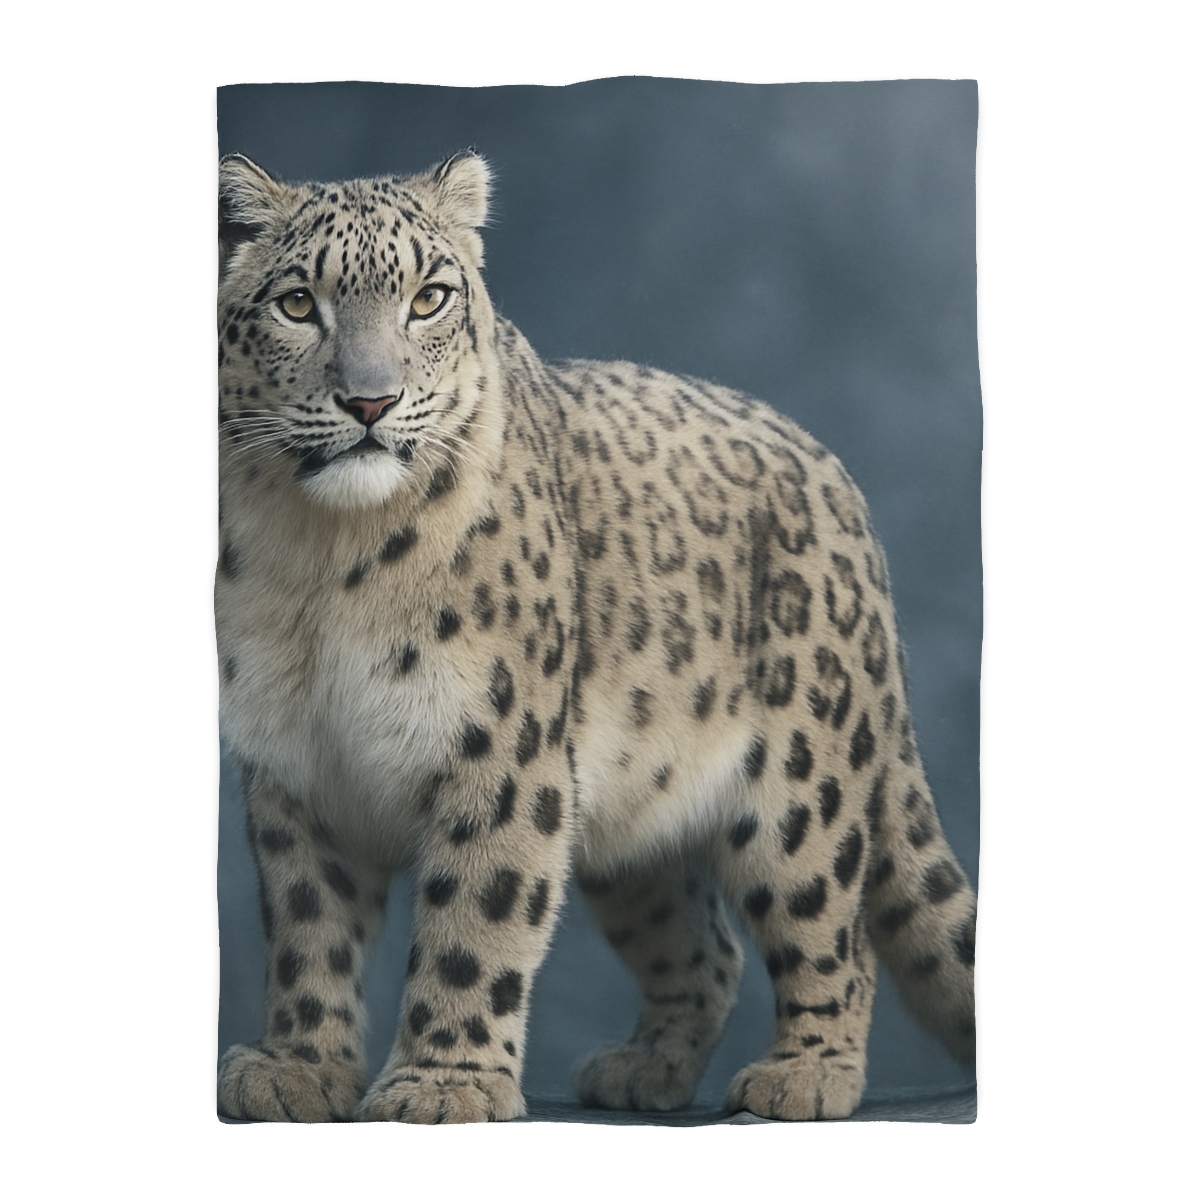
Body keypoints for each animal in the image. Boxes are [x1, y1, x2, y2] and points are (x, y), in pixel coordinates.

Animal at [215, 150, 977, 1124]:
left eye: (428, 298)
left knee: (831, 933)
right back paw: (642, 1068)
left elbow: (475, 918)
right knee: (705, 945)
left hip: (803, 784)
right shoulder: (293, 764)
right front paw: (297, 1067)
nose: (370, 401)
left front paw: (442, 1084)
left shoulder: (499, 749)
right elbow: (310, 929)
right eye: (296, 302)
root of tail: (837, 478)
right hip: (632, 825)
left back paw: (805, 1074)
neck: (324, 561)